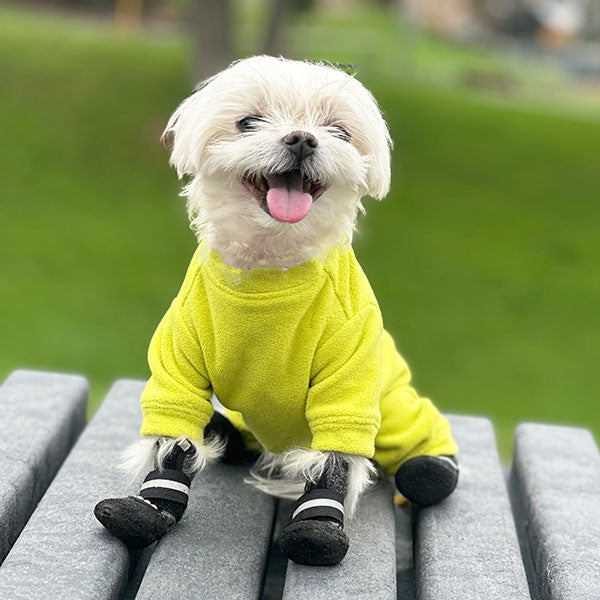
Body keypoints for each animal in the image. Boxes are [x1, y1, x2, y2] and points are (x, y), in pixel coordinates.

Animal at [95, 56, 460, 568]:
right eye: (248, 122)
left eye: (339, 131)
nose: (303, 139)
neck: (270, 271)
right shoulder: (176, 366)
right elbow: (173, 443)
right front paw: (146, 509)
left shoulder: (348, 384)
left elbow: (332, 464)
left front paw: (318, 531)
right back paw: (223, 433)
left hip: (396, 410)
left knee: (422, 442)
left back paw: (431, 468)